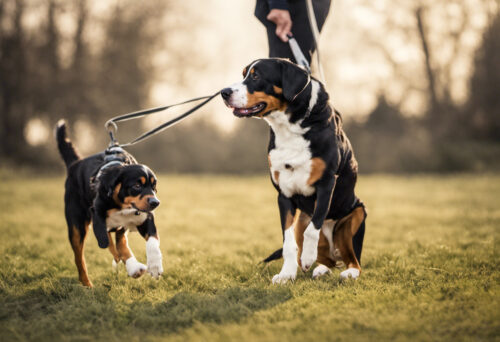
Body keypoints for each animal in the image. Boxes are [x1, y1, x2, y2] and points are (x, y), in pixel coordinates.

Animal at [55, 120, 163, 286]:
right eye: (137, 186)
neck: (122, 207)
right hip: (76, 226)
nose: (155, 202)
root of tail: (75, 164)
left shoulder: (145, 217)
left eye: (153, 187)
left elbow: (151, 241)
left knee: (120, 243)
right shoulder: (98, 216)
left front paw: (155, 265)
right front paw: (133, 265)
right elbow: (107, 243)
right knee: (80, 257)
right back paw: (87, 284)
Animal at [223, 58, 368, 284]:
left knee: (353, 259)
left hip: (356, 214)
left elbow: (314, 228)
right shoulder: (284, 193)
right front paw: (287, 274)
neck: (290, 127)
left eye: (256, 76)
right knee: (327, 260)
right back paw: (321, 268)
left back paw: (348, 272)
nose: (224, 92)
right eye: (244, 73)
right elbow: (288, 242)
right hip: (302, 220)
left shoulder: (326, 183)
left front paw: (307, 257)